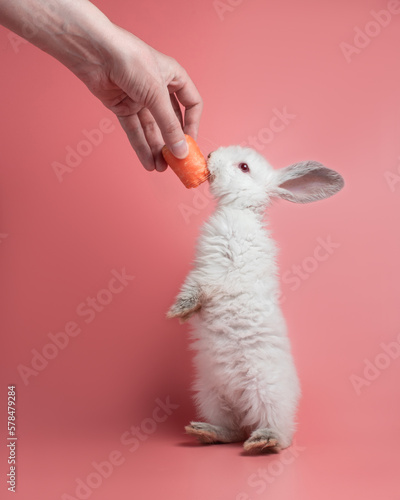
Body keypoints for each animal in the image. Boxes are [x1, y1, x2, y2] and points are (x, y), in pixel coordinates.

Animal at [166, 145, 344, 454]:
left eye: (244, 167)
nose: (209, 154)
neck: (240, 209)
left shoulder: (218, 271)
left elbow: (198, 287)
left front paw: (180, 310)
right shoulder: (208, 267)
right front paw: (183, 313)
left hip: (266, 393)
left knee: (280, 434)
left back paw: (264, 440)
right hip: (210, 396)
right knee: (234, 430)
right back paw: (206, 432)